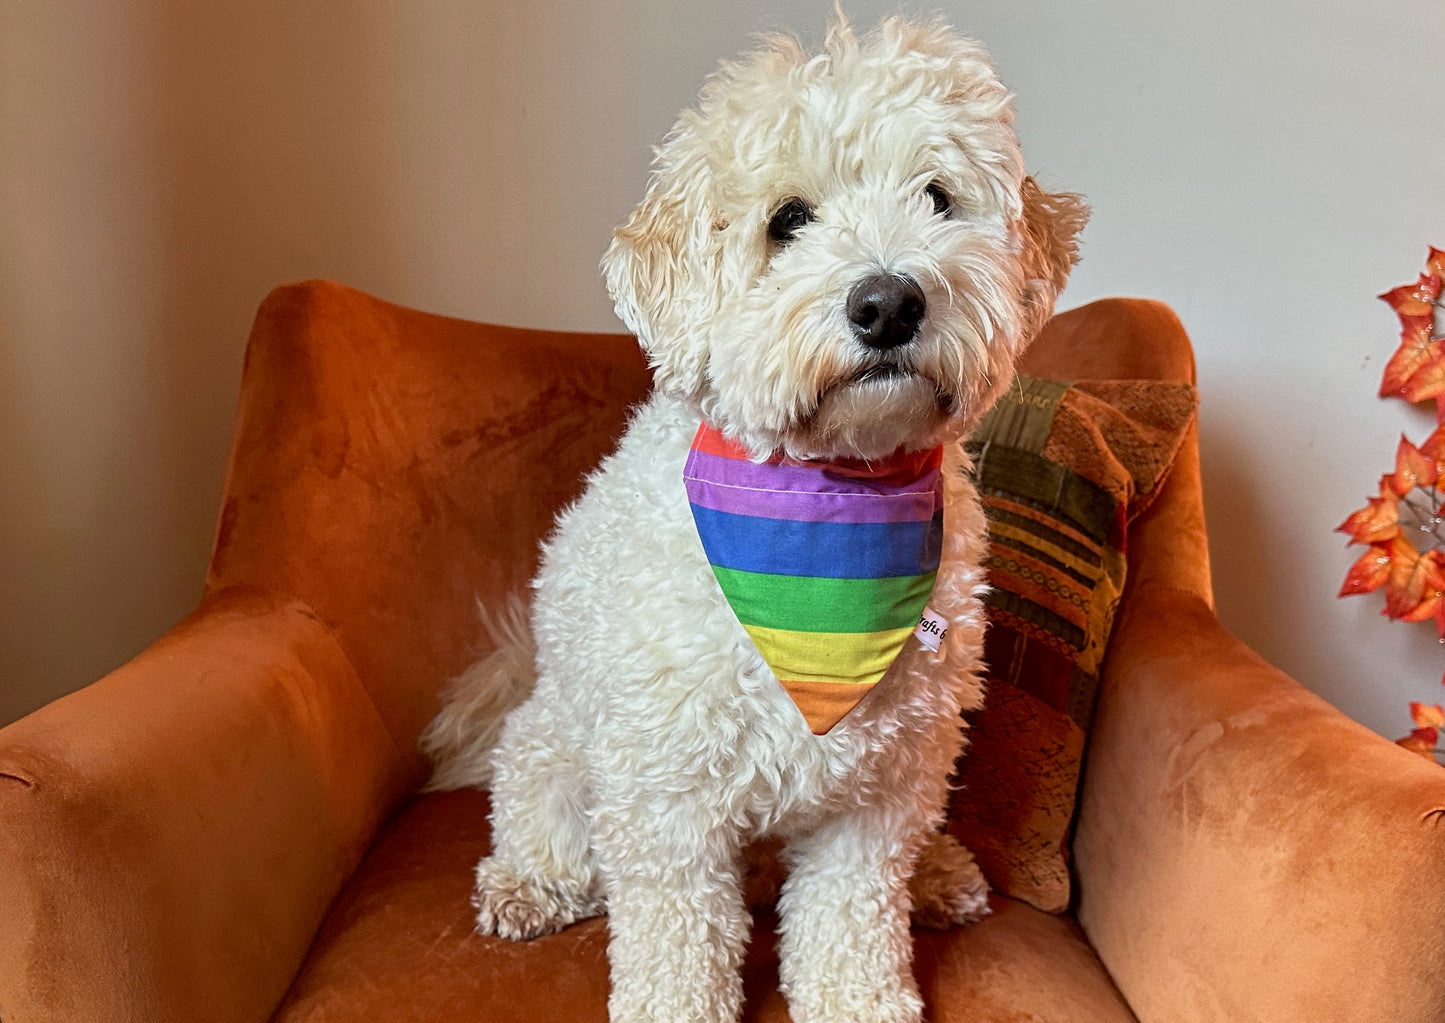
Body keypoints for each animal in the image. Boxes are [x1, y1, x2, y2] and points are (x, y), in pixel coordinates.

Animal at [419, 13, 1086, 1023]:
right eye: (788, 221)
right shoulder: (665, 796)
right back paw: (526, 884)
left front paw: (860, 999)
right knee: (543, 821)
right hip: (555, 753)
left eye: (937, 198)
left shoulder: (878, 790)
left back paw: (937, 875)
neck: (831, 498)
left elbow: (852, 914)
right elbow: (675, 937)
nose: (887, 302)